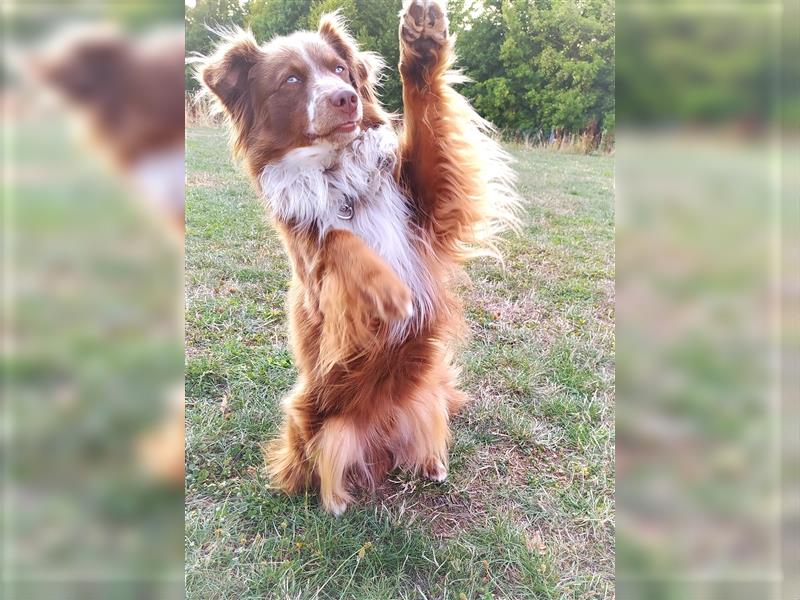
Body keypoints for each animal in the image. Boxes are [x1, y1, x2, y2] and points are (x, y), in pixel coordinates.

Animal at [197, 1, 516, 516]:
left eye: (340, 69)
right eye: (291, 80)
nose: (346, 99)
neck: (336, 175)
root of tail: (380, 440)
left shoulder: (423, 204)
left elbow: (427, 119)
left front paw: (421, 43)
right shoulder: (316, 272)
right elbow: (338, 240)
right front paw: (388, 290)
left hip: (427, 393)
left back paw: (432, 463)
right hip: (313, 417)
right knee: (310, 469)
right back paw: (336, 500)